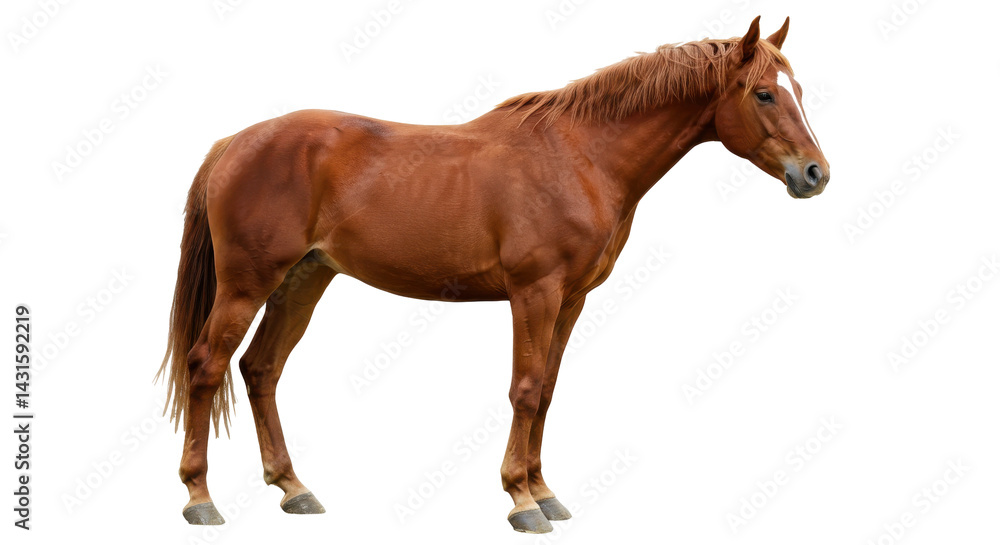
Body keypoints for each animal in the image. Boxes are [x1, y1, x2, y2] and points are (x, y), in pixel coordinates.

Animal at [156, 16, 829, 534]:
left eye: (798, 87)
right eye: (763, 94)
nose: (815, 174)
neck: (582, 157)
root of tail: (235, 142)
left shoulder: (571, 300)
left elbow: (548, 391)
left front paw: (545, 492)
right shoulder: (534, 293)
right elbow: (525, 389)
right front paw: (521, 501)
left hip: (303, 282)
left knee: (260, 369)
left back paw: (294, 489)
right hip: (246, 285)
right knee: (207, 366)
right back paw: (200, 499)